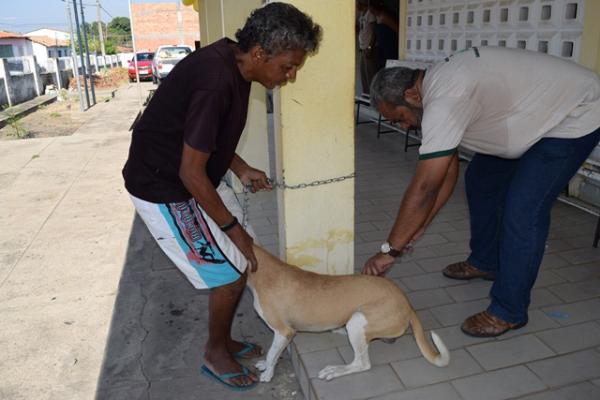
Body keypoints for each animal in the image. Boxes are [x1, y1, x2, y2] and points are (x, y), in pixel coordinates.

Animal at [246, 247, 448, 382]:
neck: (262, 272)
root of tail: (407, 303)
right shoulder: (284, 334)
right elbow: (274, 352)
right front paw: (266, 365)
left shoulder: (283, 331)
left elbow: (272, 353)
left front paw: (268, 373)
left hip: (357, 322)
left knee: (361, 364)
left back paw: (335, 370)